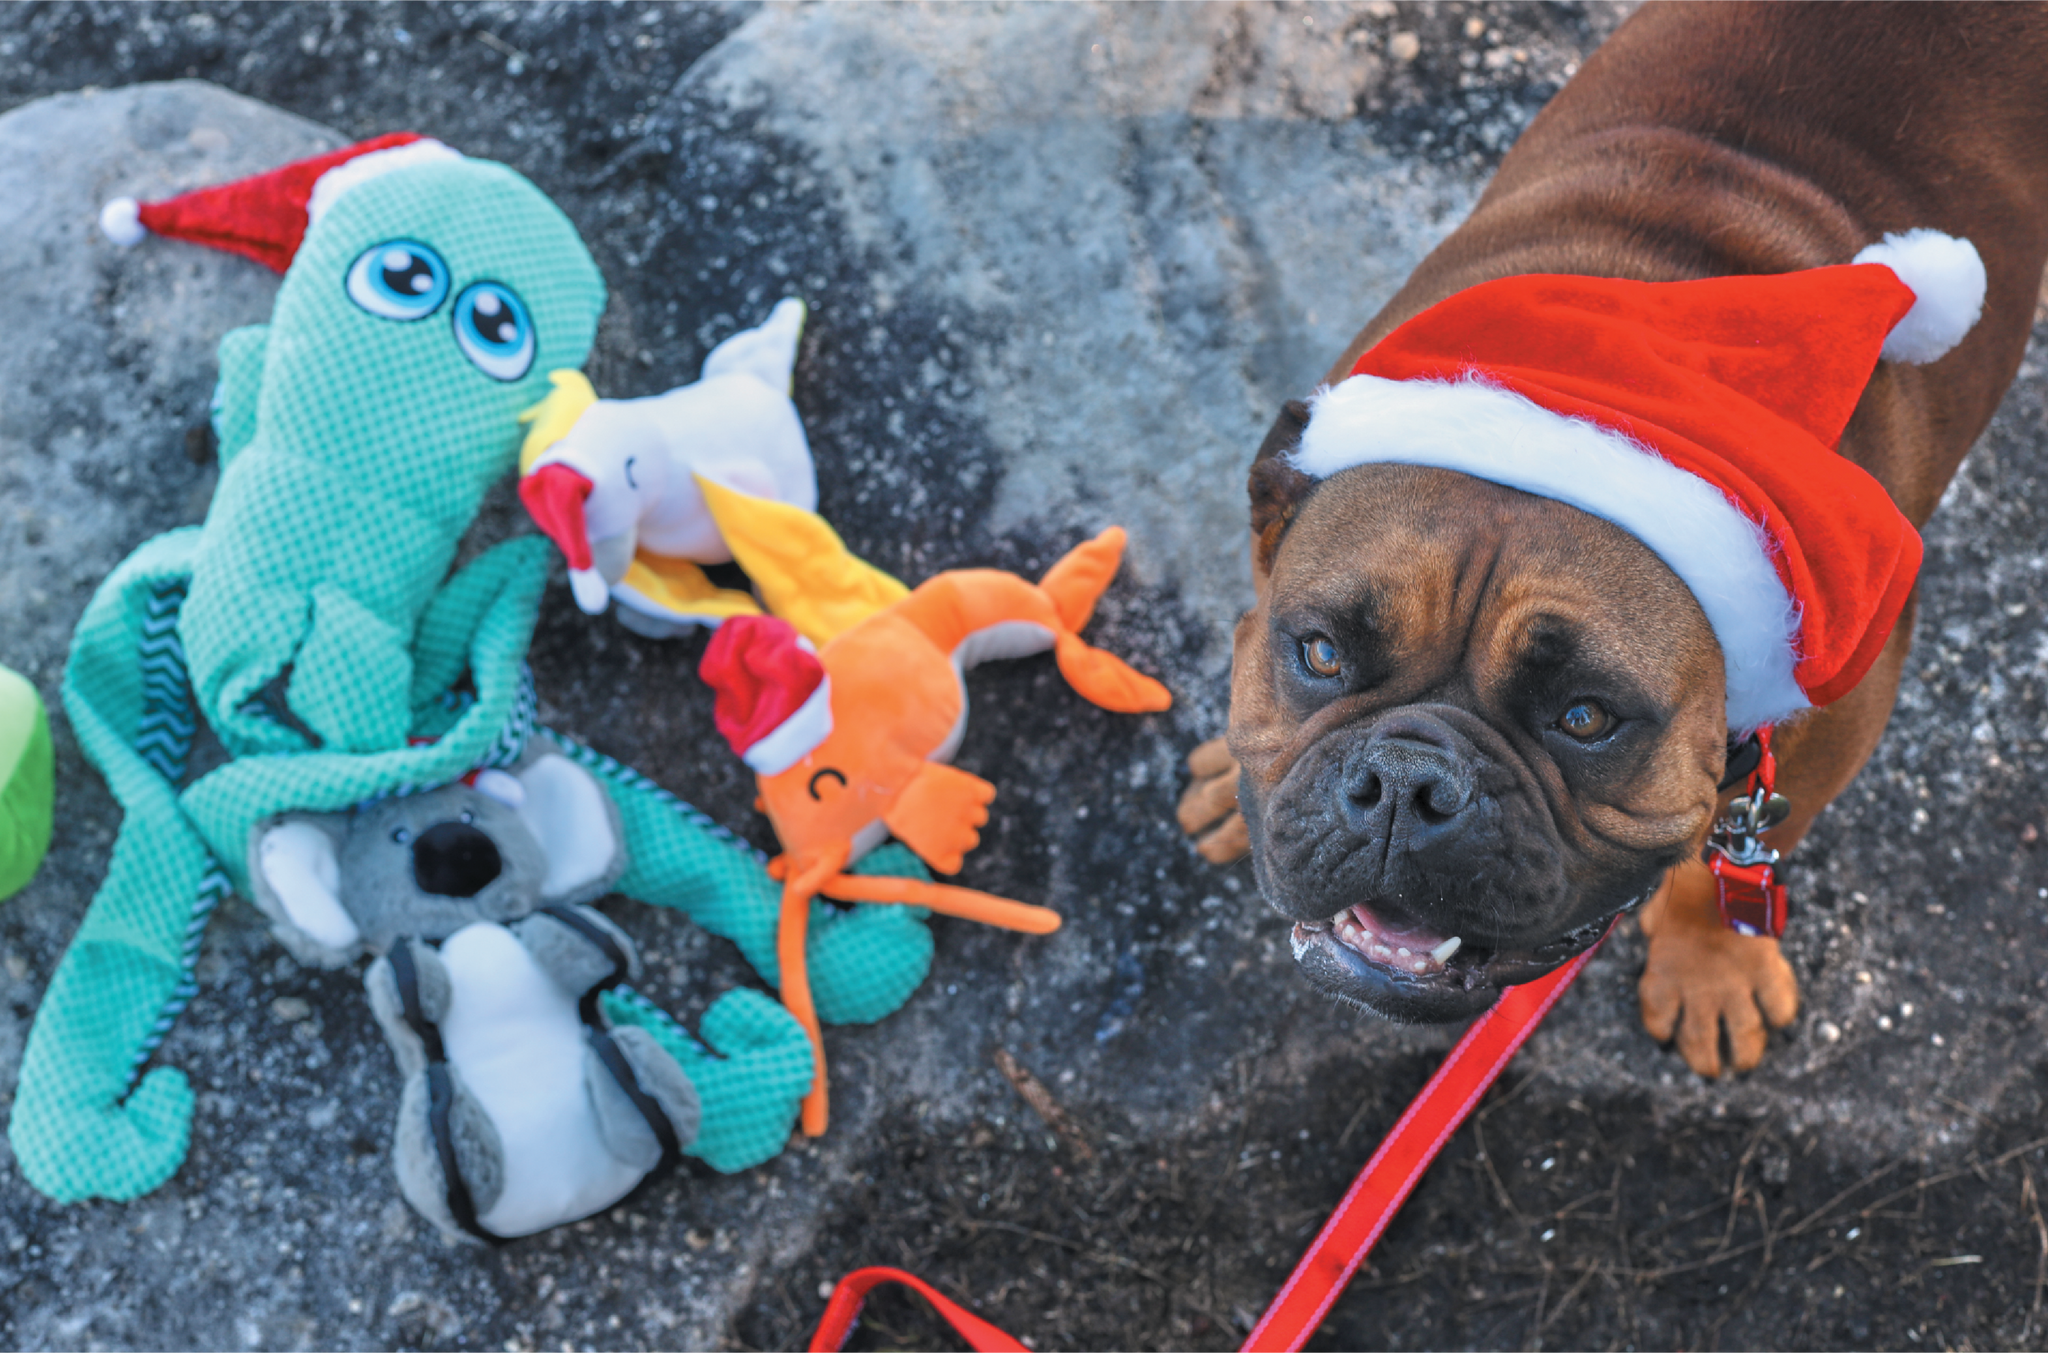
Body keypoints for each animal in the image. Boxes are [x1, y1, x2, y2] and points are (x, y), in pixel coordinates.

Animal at [1179, 0, 2048, 1072]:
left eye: (1586, 716)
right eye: (1322, 653)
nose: (1406, 783)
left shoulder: (1824, 738)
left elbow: (1723, 869)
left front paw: (1711, 966)